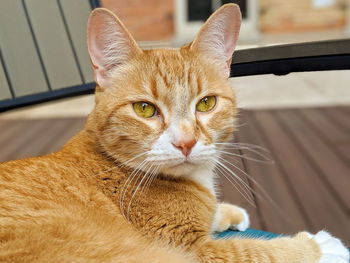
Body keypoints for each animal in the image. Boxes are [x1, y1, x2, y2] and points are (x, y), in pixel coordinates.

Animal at [1, 4, 348, 263]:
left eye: (206, 103)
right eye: (144, 109)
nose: (186, 143)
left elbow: (213, 213)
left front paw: (225, 211)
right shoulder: (189, 251)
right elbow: (254, 251)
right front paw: (319, 248)